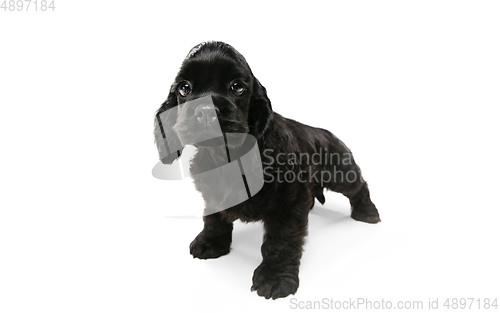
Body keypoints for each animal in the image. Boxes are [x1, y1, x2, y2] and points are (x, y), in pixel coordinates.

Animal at [152, 40, 378, 298]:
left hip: (340, 171)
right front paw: (211, 242)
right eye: (184, 88)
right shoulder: (212, 194)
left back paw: (367, 212)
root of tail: (326, 132)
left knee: (359, 186)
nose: (206, 111)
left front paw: (274, 278)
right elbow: (213, 218)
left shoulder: (289, 205)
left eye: (237, 87)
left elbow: (280, 241)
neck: (226, 157)